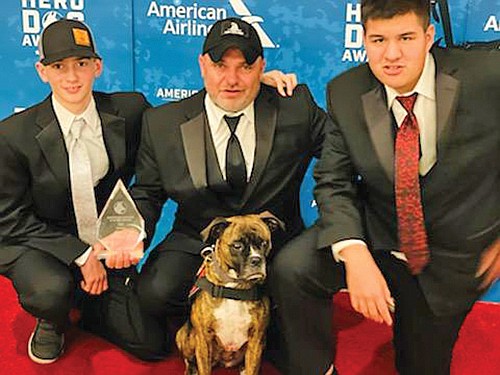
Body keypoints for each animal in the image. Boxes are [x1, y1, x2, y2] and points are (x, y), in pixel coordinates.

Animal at [177, 213, 286, 374]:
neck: (236, 288)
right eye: (237, 246)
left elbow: (252, 367)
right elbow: (204, 367)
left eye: (264, 243)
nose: (256, 260)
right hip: (186, 336)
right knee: (189, 359)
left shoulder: (256, 339)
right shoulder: (203, 339)